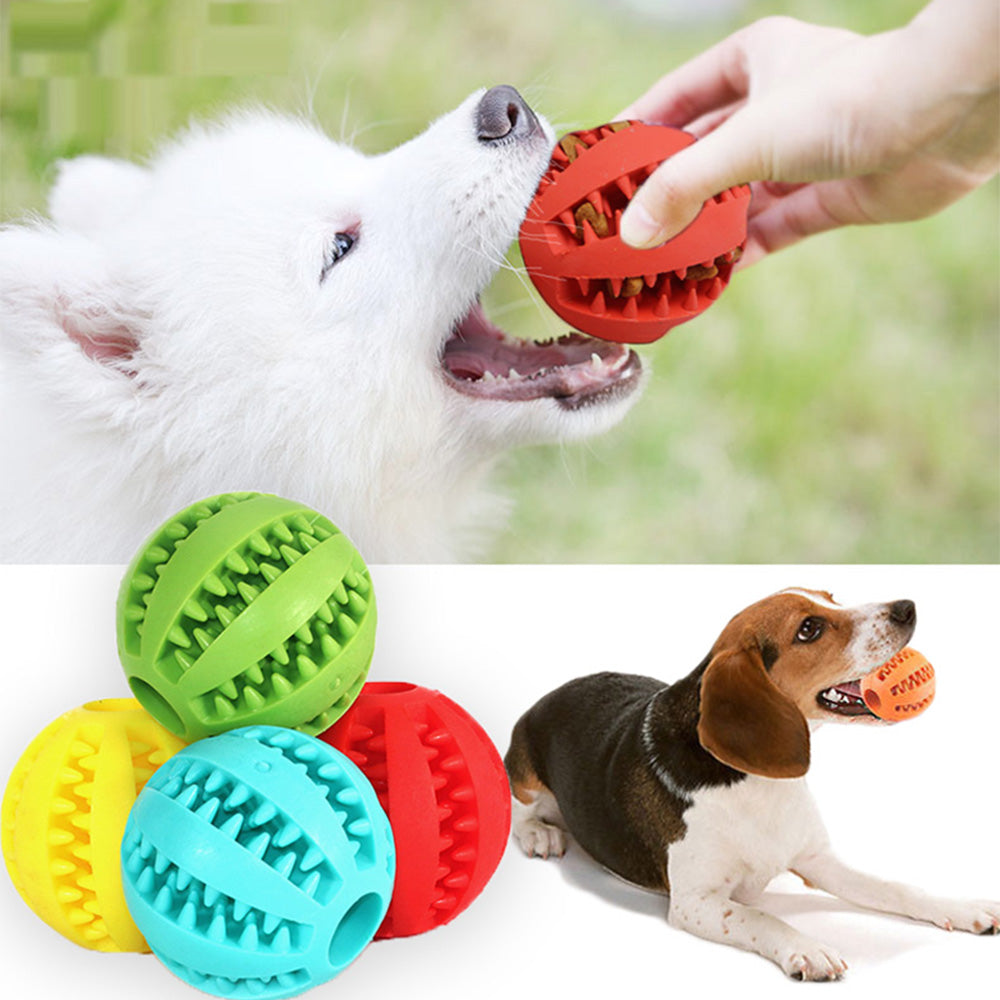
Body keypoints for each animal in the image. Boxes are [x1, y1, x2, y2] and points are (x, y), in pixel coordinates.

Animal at [508, 588, 1000, 980]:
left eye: (832, 596)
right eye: (809, 629)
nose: (906, 607)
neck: (758, 783)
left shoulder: (818, 860)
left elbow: (897, 888)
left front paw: (962, 908)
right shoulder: (695, 902)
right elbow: (761, 917)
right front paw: (808, 949)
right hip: (525, 776)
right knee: (520, 811)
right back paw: (540, 834)